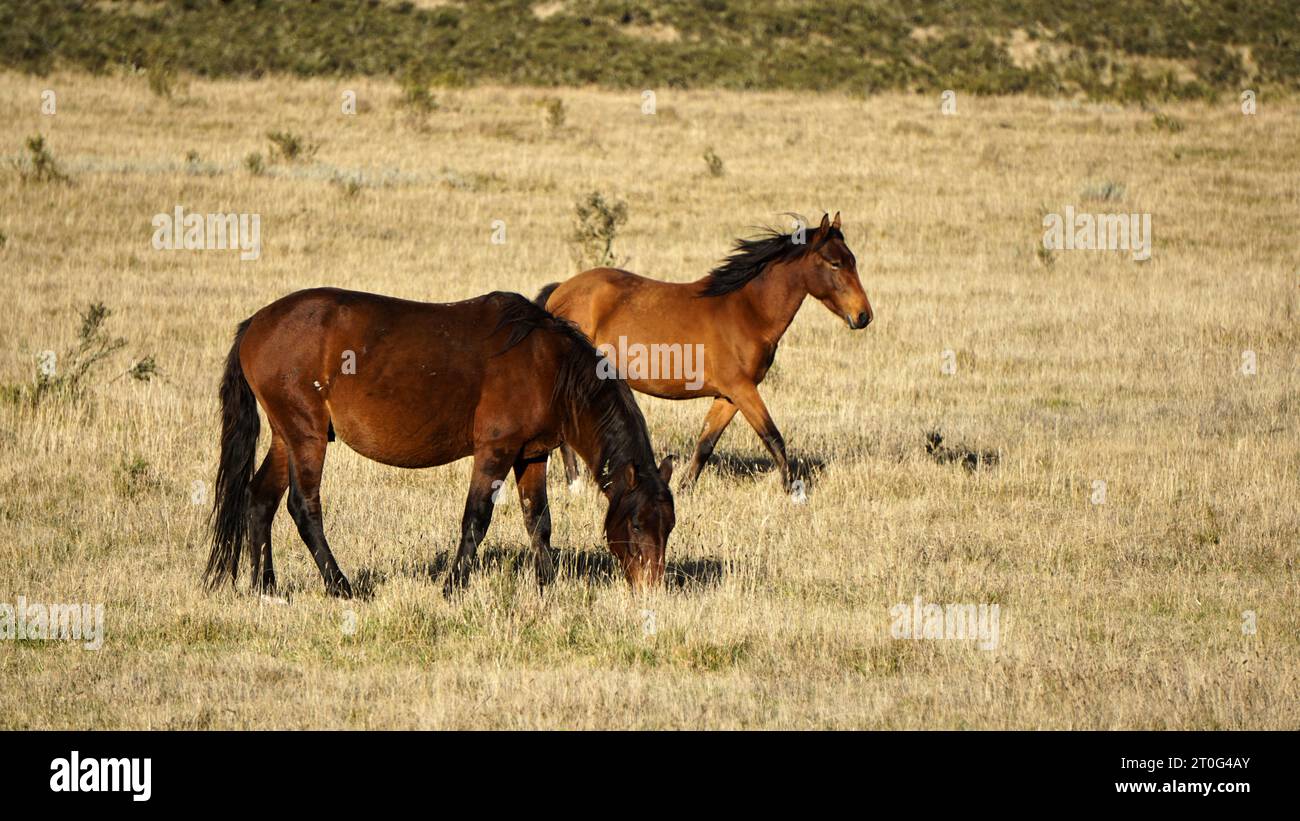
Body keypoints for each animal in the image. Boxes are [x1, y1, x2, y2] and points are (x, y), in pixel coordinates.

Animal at [206, 287, 676, 597]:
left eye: (668, 525)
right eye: (637, 524)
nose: (652, 588)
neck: (547, 364)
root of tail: (256, 324)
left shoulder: (532, 455)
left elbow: (538, 522)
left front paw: (546, 586)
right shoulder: (494, 452)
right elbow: (476, 520)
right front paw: (453, 586)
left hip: (288, 436)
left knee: (259, 499)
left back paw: (266, 588)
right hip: (306, 435)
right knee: (303, 508)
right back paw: (341, 587)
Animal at [538, 211, 873, 493]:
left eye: (853, 260)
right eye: (835, 263)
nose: (864, 316)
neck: (748, 312)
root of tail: (559, 293)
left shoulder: (728, 396)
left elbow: (706, 443)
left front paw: (684, 489)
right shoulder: (742, 389)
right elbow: (773, 437)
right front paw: (794, 493)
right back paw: (576, 486)